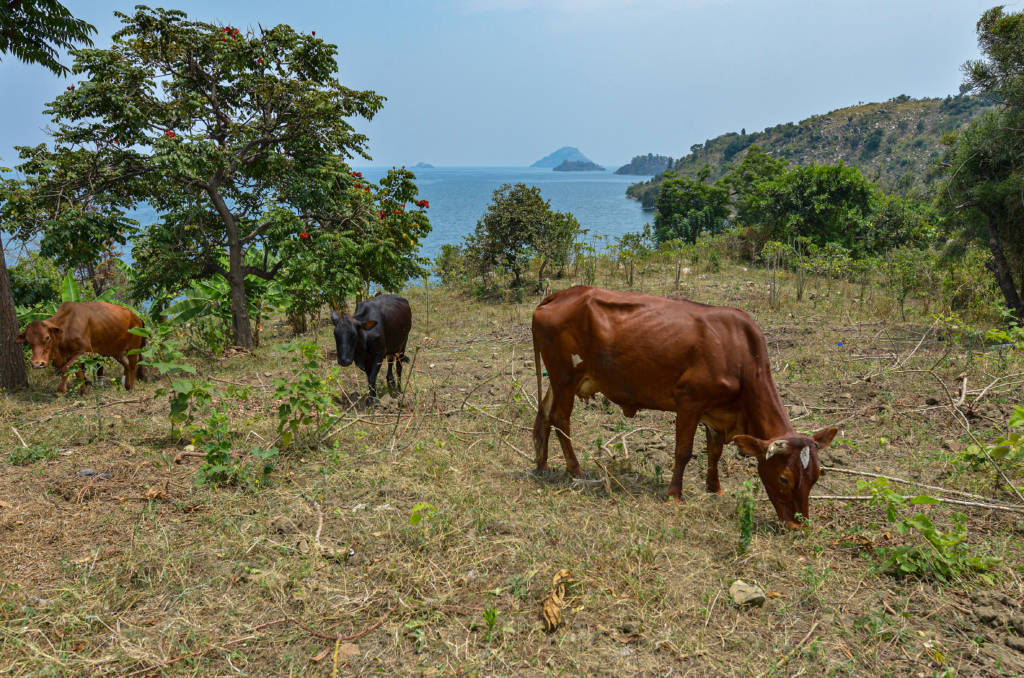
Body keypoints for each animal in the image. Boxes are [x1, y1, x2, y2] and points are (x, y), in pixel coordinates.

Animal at [15, 301, 145, 395]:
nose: (37, 364)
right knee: (126, 365)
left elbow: (66, 368)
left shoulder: (85, 351)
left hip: (133, 348)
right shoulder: (74, 355)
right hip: (116, 351)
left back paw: (131, 389)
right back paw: (127, 386)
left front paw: (61, 391)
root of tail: (137, 317)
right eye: (28, 340)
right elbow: (79, 373)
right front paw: (83, 392)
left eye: (47, 337)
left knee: (133, 366)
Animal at [531, 286, 837, 529]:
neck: (739, 355)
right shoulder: (690, 401)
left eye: (817, 476)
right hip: (565, 377)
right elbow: (683, 451)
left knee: (544, 414)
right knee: (561, 419)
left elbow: (714, 452)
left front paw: (715, 488)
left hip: (558, 379)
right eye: (784, 478)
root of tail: (563, 294)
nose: (799, 526)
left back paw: (542, 465)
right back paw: (576, 470)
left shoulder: (716, 413)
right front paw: (674, 495)